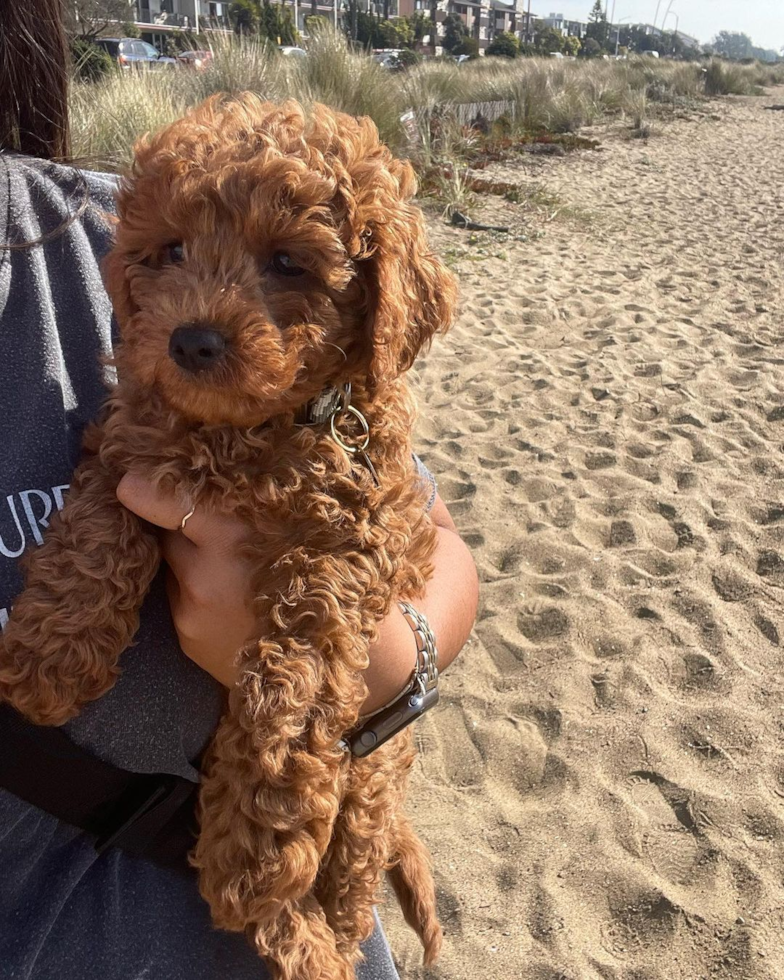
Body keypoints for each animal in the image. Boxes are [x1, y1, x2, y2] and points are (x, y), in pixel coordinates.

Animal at [0, 95, 456, 976]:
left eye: (288, 262)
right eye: (171, 250)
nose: (191, 341)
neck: (245, 437)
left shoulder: (345, 545)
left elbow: (291, 684)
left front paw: (257, 838)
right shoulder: (126, 440)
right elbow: (97, 530)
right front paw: (53, 653)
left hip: (371, 780)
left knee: (348, 882)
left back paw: (309, 937)